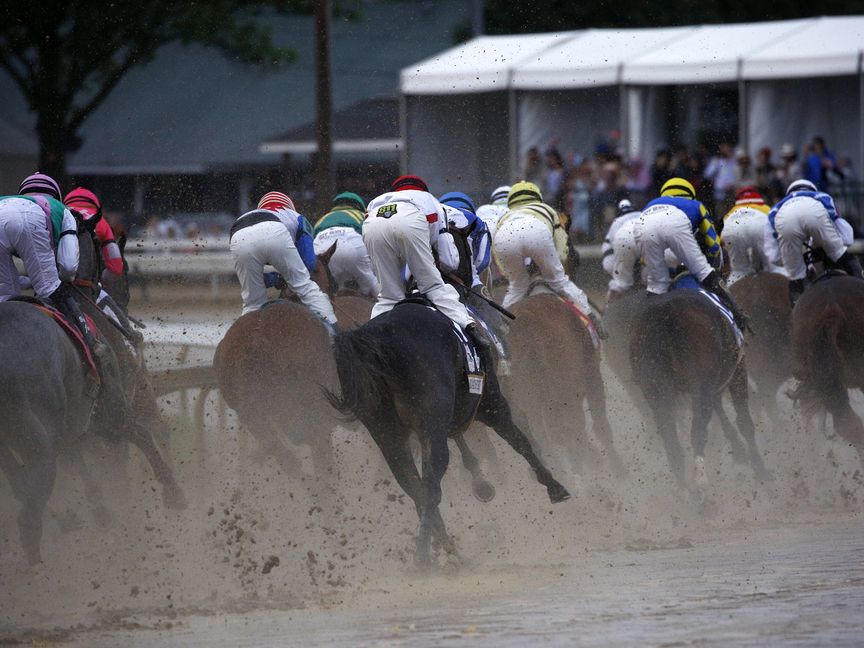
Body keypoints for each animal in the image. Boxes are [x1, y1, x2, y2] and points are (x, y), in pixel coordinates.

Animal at [324, 302, 568, 564]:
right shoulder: (490, 404)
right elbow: (520, 441)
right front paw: (554, 487)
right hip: (433, 424)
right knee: (430, 486)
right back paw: (425, 556)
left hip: (387, 434)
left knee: (413, 486)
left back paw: (447, 550)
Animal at [502, 292, 624, 478]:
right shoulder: (591, 375)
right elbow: (599, 424)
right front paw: (618, 468)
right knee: (570, 432)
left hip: (526, 407)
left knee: (544, 441)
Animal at [624, 282, 772, 492]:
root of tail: (664, 312)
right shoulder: (737, 369)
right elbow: (744, 421)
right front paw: (759, 469)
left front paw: (739, 450)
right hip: (700, 385)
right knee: (698, 430)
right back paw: (700, 485)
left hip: (656, 391)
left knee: (672, 444)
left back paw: (685, 491)